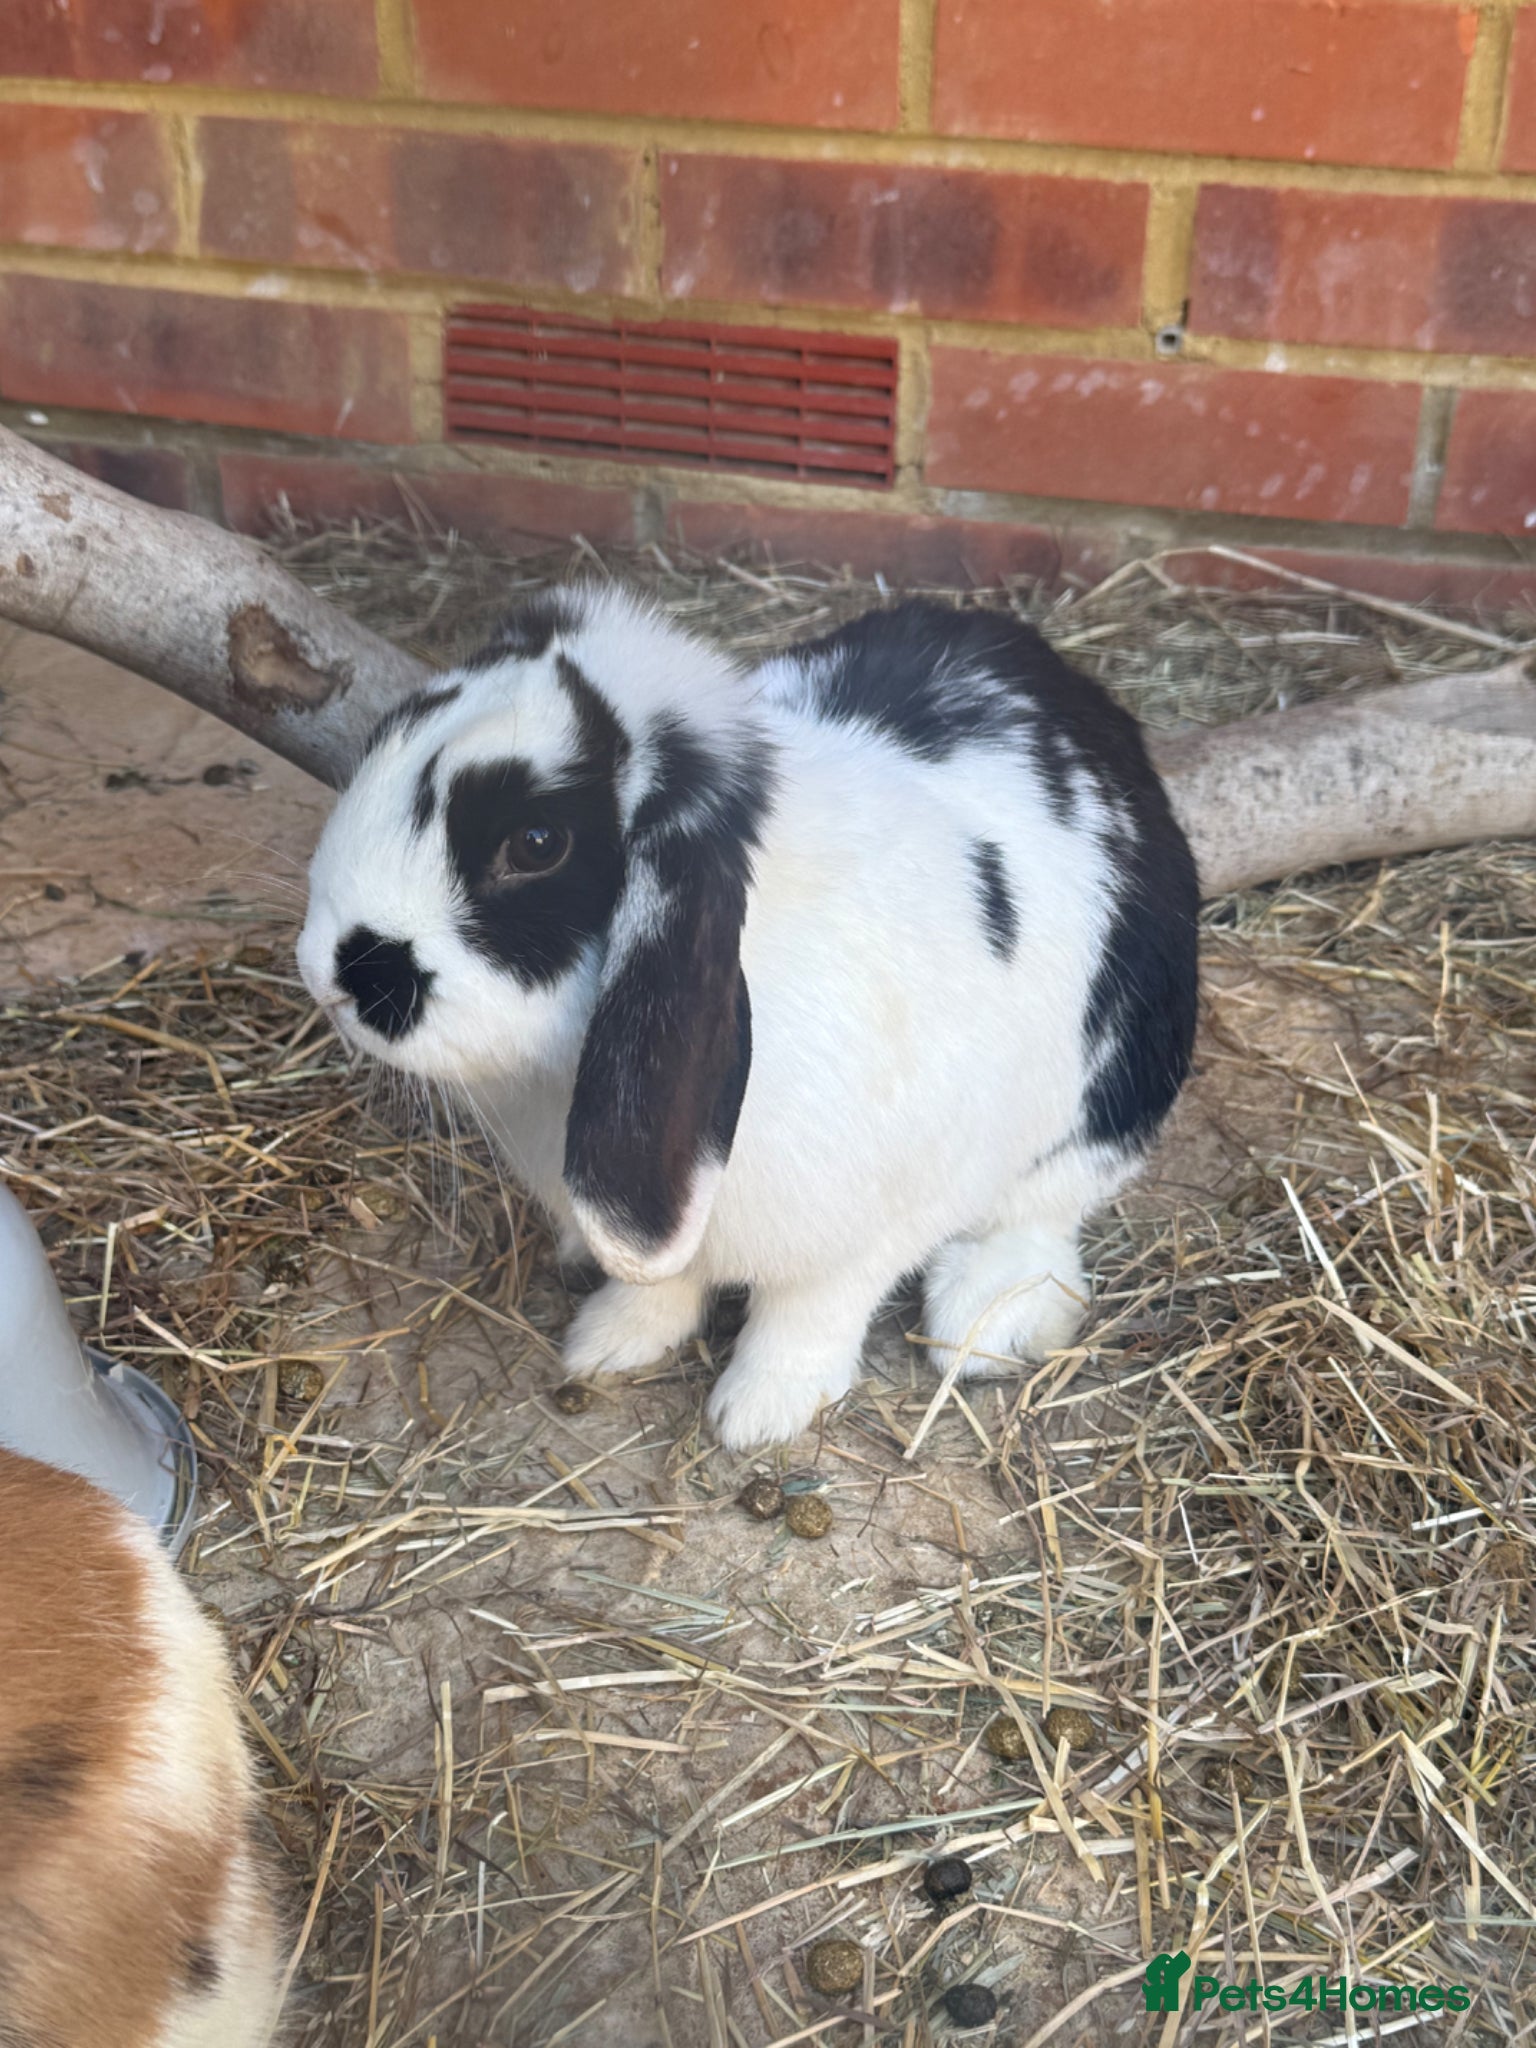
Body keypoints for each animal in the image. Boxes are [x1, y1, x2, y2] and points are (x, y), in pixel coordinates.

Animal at [298, 590, 1198, 1450]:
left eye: (537, 841)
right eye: (385, 737)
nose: (327, 972)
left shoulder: (879, 1220)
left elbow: (813, 1309)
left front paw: (762, 1412)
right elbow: (665, 1280)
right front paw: (608, 1340)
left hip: (1113, 1090)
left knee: (1044, 1209)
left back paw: (988, 1319)